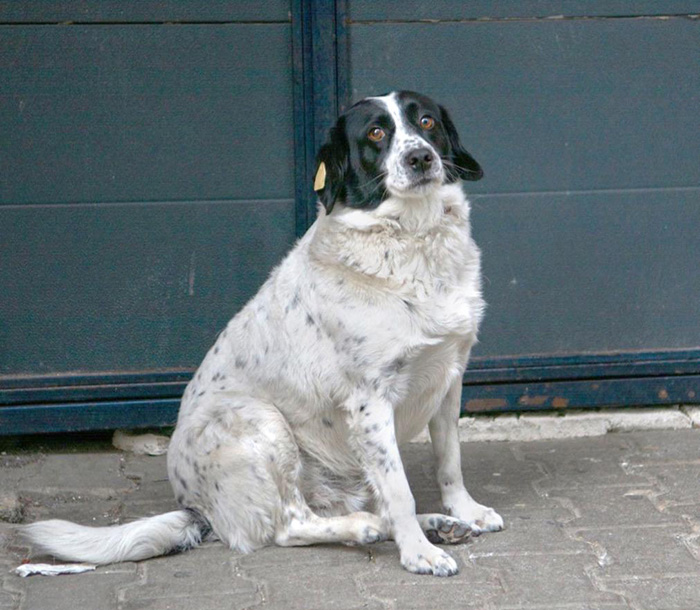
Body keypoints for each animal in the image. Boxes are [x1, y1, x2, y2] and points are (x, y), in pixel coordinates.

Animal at [21, 90, 504, 576]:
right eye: (375, 133)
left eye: (426, 122)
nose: (420, 157)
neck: (413, 241)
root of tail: (195, 508)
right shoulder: (370, 399)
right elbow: (399, 488)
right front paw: (418, 553)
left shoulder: (449, 377)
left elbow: (449, 461)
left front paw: (464, 510)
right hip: (261, 421)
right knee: (291, 524)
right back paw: (368, 527)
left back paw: (437, 523)